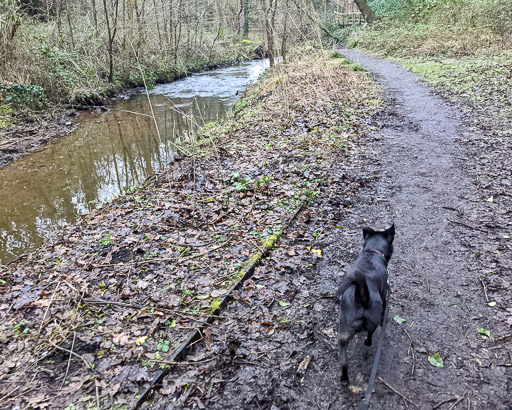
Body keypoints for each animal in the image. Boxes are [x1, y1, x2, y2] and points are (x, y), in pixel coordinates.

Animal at [336, 224, 396, 382]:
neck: (372, 253)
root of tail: (361, 296)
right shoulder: (384, 295)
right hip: (372, 321)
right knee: (370, 334)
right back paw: (368, 342)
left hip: (343, 332)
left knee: (343, 360)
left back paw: (344, 378)